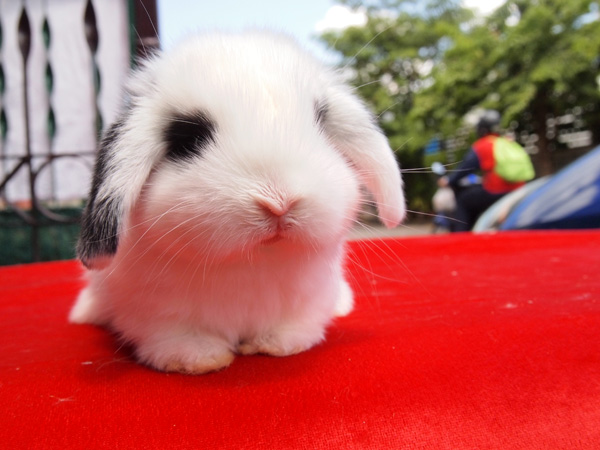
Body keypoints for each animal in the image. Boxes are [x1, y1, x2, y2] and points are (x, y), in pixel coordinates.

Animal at [69, 30, 405, 374]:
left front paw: (276, 345)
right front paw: (197, 359)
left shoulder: (308, 298)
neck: (253, 262)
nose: (279, 202)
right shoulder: (157, 314)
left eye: (321, 122)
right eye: (187, 139)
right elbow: (176, 338)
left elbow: (293, 326)